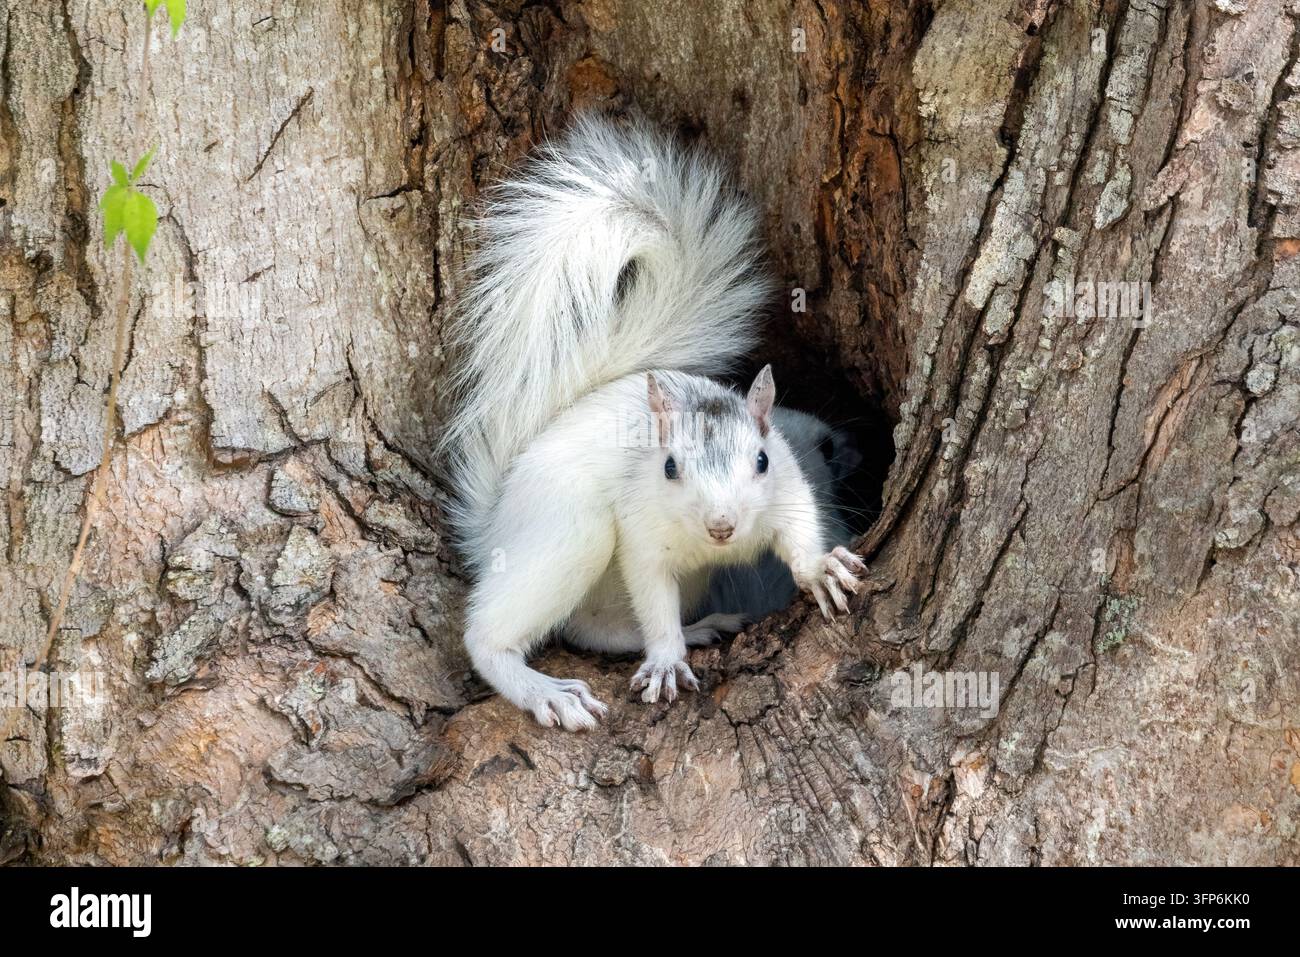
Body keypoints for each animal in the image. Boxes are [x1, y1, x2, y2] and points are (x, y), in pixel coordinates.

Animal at [442, 114, 867, 730]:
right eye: (669, 469)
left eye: (762, 460)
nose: (721, 526)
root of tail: (494, 525)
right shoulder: (644, 537)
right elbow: (652, 597)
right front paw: (667, 660)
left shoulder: (789, 491)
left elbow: (799, 532)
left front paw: (821, 570)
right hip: (569, 531)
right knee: (490, 637)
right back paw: (545, 690)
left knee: (603, 632)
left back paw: (703, 627)